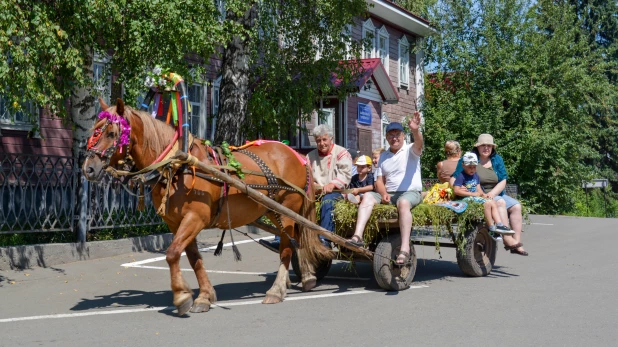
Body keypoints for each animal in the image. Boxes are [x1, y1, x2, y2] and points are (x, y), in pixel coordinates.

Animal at [84, 99, 330, 316]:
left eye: (111, 133)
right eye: (94, 130)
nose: (88, 168)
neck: (177, 166)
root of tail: (297, 156)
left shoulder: (195, 218)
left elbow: (172, 253)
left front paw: (182, 297)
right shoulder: (175, 223)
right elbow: (193, 258)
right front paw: (204, 296)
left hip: (287, 210)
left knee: (287, 247)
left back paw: (276, 290)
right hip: (273, 210)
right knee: (295, 241)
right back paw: (305, 277)